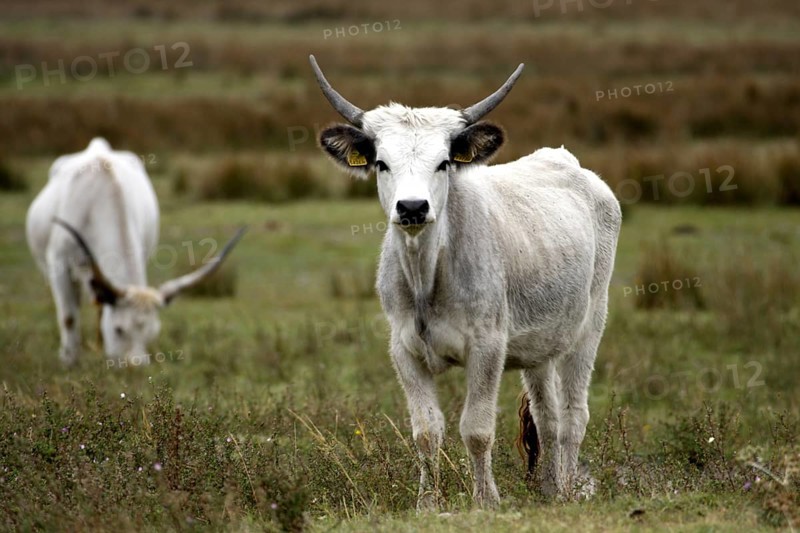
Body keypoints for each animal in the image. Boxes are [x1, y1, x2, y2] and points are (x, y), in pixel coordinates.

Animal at [26, 137, 245, 367]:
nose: (137, 366)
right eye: (119, 329)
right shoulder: (59, 264)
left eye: (153, 333)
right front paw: (69, 361)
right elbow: (68, 317)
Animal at [309, 56, 621, 510]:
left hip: (590, 325)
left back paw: (565, 490)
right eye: (382, 163)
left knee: (572, 416)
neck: (427, 275)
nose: (412, 207)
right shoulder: (403, 349)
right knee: (546, 417)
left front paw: (485, 501)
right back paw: (548, 488)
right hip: (540, 345)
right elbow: (426, 432)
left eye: (443, 162)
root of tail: (567, 161)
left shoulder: (487, 346)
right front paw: (427, 503)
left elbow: (476, 429)